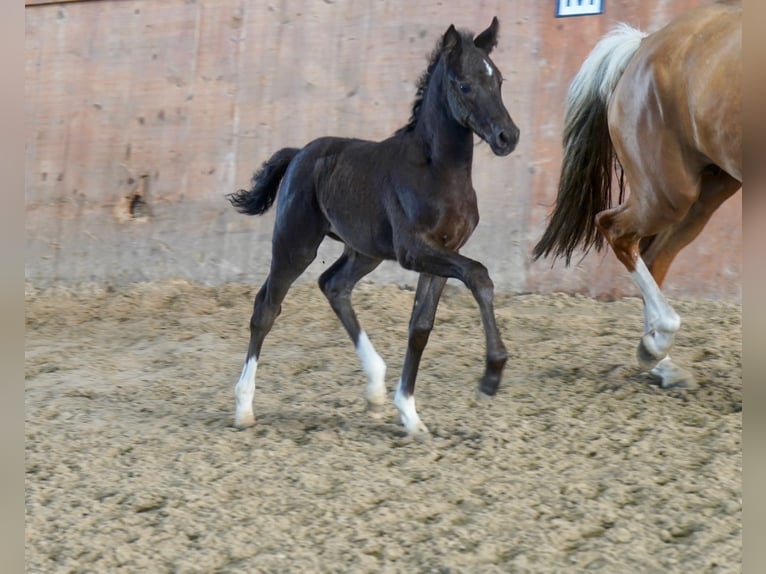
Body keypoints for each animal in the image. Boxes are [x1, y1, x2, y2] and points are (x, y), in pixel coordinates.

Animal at [227, 17, 519, 435]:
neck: (439, 172)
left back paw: (376, 388)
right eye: (465, 85)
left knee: (333, 285)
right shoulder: (415, 251)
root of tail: (299, 153)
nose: (507, 137)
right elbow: (480, 275)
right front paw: (491, 375)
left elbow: (420, 327)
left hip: (364, 251)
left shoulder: (446, 250)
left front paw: (410, 414)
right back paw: (243, 407)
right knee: (266, 307)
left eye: (499, 80)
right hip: (295, 244)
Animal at [533, 1, 742, 389]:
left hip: (705, 194)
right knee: (617, 231)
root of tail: (643, 45)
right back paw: (655, 346)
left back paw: (664, 362)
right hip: (669, 194)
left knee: (653, 256)